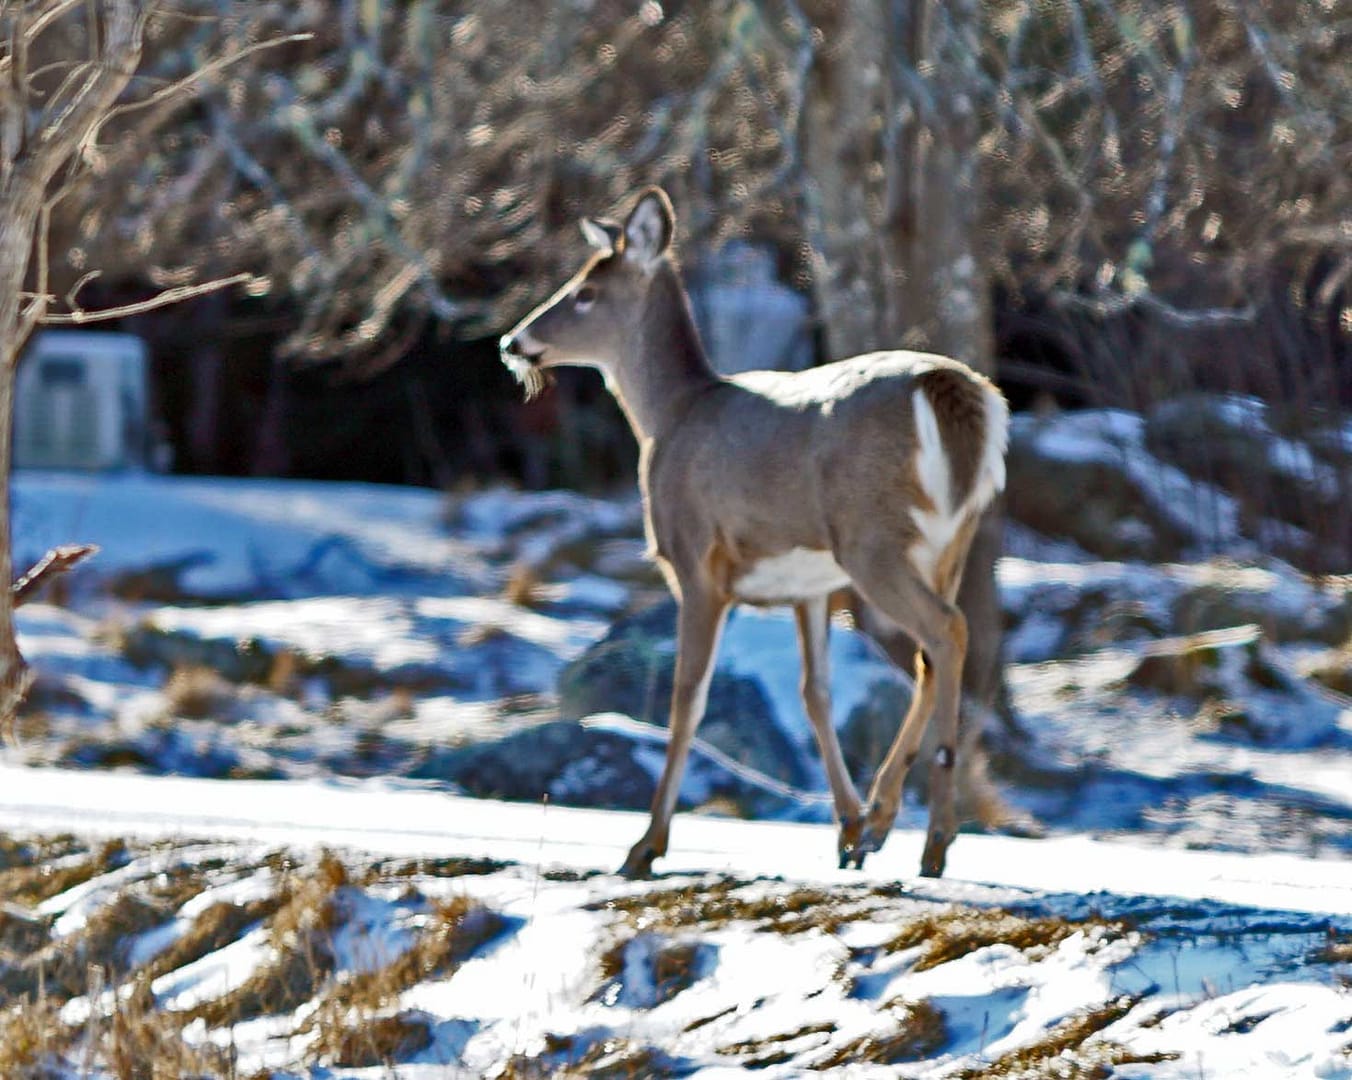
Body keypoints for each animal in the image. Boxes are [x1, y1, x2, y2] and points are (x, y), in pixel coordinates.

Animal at [502, 186, 1011, 875]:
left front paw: (645, 845)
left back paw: (927, 837)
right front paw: (846, 827)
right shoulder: (808, 586)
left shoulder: (695, 560)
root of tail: (956, 393)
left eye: (585, 291)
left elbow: (686, 696)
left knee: (947, 631)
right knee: (935, 654)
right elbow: (815, 692)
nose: (512, 341)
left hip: (872, 538)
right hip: (953, 539)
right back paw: (892, 826)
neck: (670, 416)